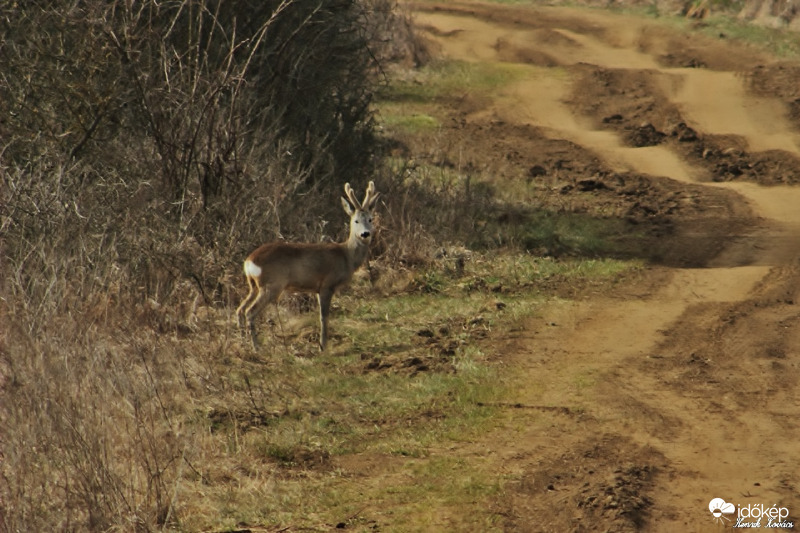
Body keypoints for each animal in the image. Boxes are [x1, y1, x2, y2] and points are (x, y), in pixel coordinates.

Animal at [236, 181, 380, 352]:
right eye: (356, 221)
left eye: (370, 219)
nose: (365, 234)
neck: (346, 256)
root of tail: (249, 262)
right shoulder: (327, 284)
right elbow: (324, 316)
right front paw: (323, 346)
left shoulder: (317, 288)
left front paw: (322, 344)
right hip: (272, 284)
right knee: (250, 312)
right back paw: (257, 348)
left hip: (254, 285)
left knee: (240, 310)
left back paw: (244, 343)